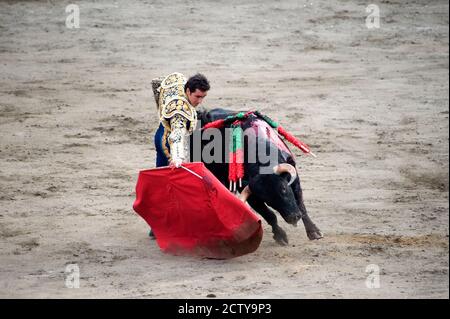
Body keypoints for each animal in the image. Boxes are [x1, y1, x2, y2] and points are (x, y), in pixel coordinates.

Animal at [190, 109, 324, 246]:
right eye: (268, 200)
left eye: (284, 189)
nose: (293, 217)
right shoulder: (252, 195)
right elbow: (270, 215)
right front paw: (280, 236)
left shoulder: (294, 179)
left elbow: (301, 205)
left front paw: (314, 232)